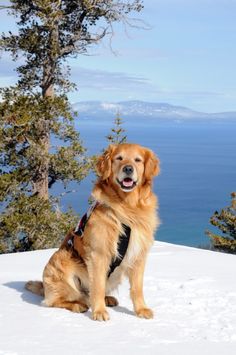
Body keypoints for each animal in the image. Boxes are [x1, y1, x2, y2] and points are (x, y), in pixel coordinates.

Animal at [26, 143, 160, 322]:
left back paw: (107, 299)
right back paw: (79, 305)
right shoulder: (98, 254)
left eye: (137, 160)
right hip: (62, 260)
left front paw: (141, 309)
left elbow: (137, 288)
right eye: (119, 158)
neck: (127, 207)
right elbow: (97, 286)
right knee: (56, 301)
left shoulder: (139, 254)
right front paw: (99, 312)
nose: (128, 169)